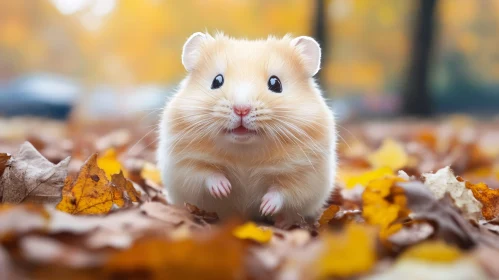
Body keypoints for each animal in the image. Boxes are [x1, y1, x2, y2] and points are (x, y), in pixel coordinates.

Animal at [158, 31, 338, 228]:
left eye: (276, 83)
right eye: (216, 81)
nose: (241, 109)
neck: (245, 151)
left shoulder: (304, 175)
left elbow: (283, 191)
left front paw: (265, 207)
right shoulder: (186, 164)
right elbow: (206, 174)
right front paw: (224, 189)